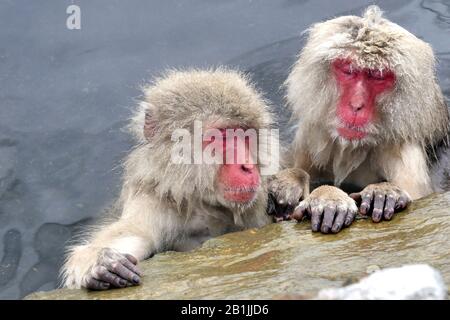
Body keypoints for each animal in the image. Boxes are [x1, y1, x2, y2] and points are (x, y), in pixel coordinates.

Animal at [61, 69, 276, 288]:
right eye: (222, 137)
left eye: (245, 135)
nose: (248, 166)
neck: (204, 206)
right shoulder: (152, 201)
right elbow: (133, 232)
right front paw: (98, 260)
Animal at [268, 6, 448, 234]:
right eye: (349, 70)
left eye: (377, 76)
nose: (356, 105)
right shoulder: (312, 135)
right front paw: (307, 187)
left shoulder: (403, 154)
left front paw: (384, 194)